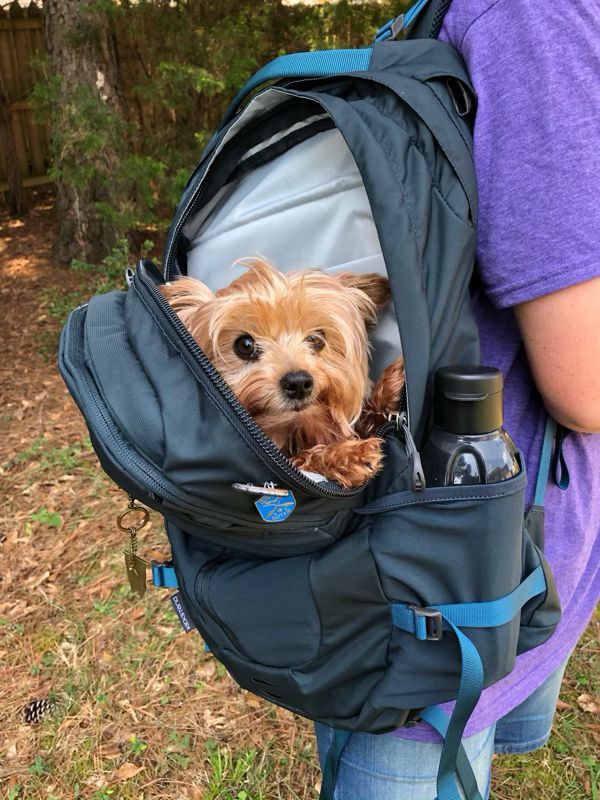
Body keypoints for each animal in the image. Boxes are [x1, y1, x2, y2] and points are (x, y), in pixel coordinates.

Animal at [161, 260, 404, 490]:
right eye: (245, 345)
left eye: (316, 338)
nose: (298, 382)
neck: (291, 430)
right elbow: (305, 460)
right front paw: (347, 456)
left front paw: (394, 383)